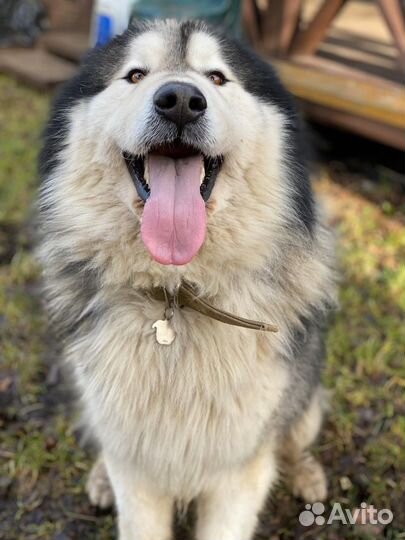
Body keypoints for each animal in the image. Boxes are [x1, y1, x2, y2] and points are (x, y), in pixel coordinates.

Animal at [37, 17, 334, 540]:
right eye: (135, 75)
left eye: (216, 77)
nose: (179, 100)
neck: (176, 294)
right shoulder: (135, 465)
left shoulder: (239, 472)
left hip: (304, 402)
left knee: (295, 437)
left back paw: (305, 473)